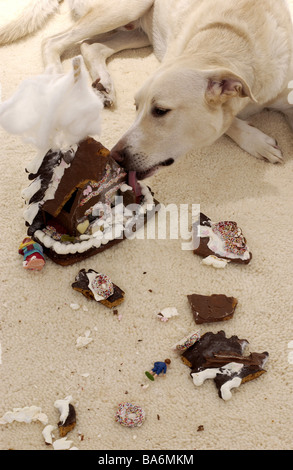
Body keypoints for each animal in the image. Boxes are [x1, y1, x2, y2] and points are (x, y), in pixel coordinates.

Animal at [0, 0, 292, 180]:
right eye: (136, 107)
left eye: (160, 111)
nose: (114, 156)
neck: (234, 38)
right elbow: (228, 123)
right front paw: (258, 141)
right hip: (126, 9)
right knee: (53, 41)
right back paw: (56, 79)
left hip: (139, 32)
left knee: (90, 46)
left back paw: (104, 83)